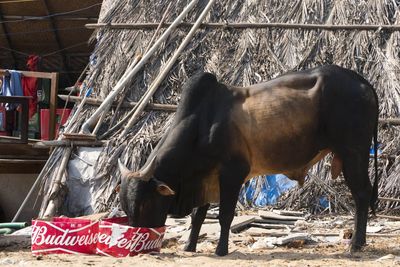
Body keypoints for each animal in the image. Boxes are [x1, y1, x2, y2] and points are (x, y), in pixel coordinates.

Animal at [118, 65, 378, 258]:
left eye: (144, 204)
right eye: (125, 207)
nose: (139, 247)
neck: (202, 123)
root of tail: (364, 83)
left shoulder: (232, 173)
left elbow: (225, 215)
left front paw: (221, 250)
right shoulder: (207, 176)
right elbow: (198, 215)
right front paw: (189, 246)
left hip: (354, 152)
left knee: (362, 194)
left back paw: (356, 244)